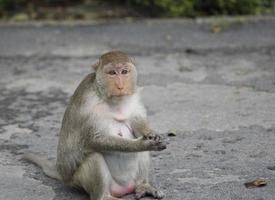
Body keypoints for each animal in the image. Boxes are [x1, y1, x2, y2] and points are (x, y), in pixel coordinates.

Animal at [23, 50, 166, 200]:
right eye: (112, 73)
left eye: (124, 71)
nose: (120, 86)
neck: (112, 100)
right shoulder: (88, 105)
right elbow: (96, 140)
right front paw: (141, 144)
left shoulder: (134, 98)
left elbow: (138, 124)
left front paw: (150, 134)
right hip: (78, 181)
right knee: (94, 157)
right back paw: (104, 196)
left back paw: (143, 186)